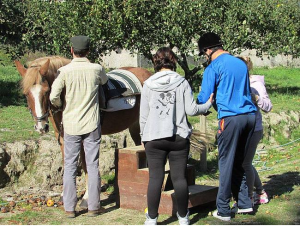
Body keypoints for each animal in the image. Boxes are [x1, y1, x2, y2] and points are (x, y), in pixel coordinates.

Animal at [14, 56, 151, 208]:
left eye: (46, 91)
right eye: (26, 93)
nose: (41, 126)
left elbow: (86, 164)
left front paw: (86, 197)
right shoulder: (63, 139)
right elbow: (67, 163)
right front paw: (64, 196)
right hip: (135, 126)